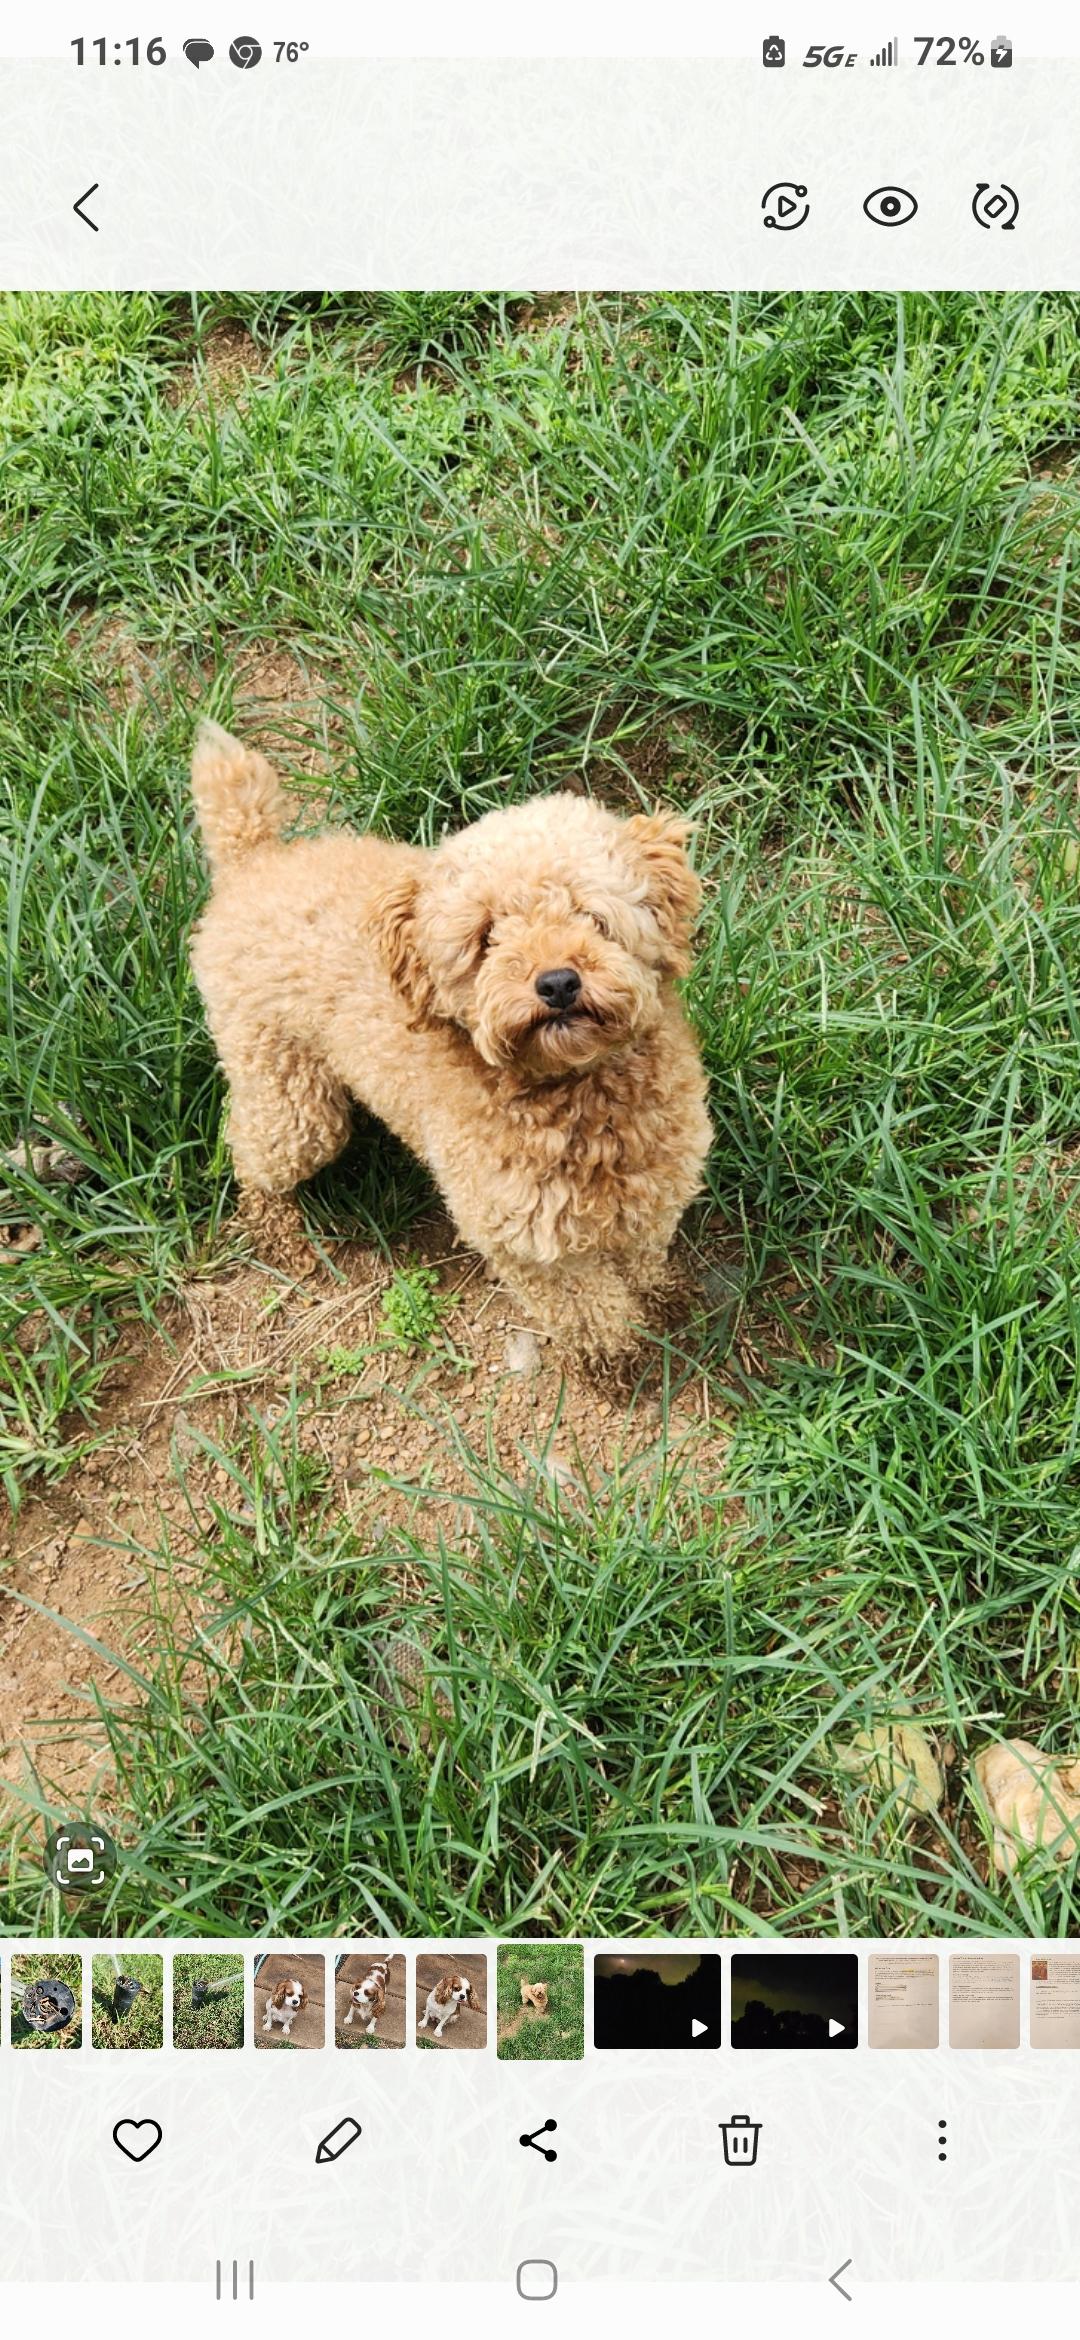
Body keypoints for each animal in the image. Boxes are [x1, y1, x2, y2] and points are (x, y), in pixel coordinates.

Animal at [189, 723, 712, 1357]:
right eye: (486, 936)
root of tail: (255, 860)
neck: (581, 1103)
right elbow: (590, 1313)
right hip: (290, 1101)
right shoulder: (524, 1240)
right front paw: (622, 1353)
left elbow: (642, 1257)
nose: (557, 982)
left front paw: (662, 1298)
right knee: (250, 1155)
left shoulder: (657, 1189)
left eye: (590, 914)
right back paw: (281, 1235)